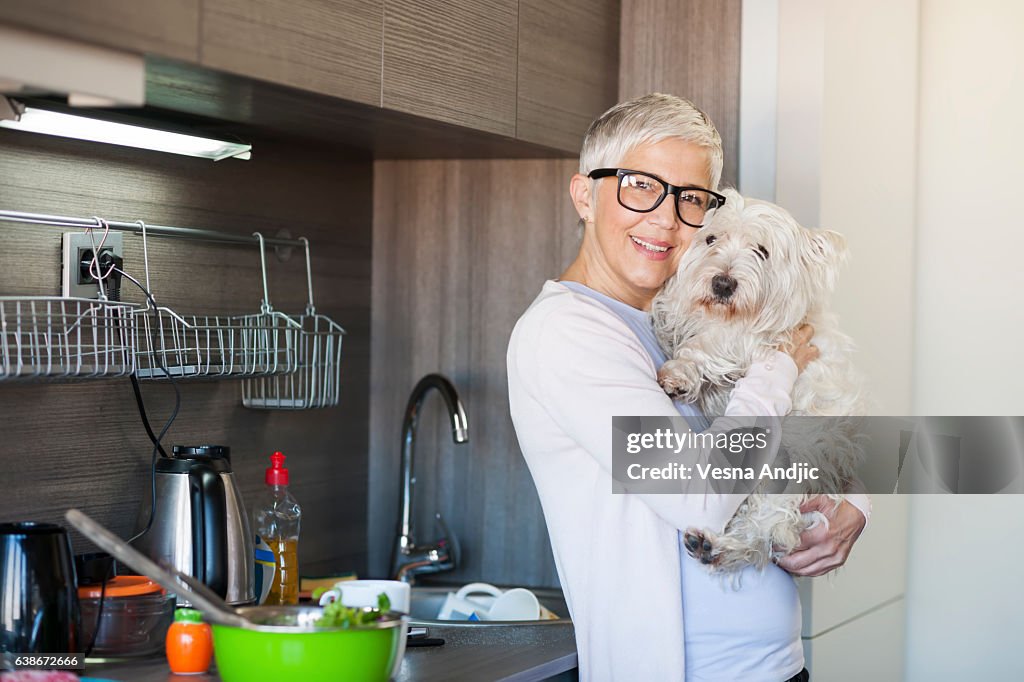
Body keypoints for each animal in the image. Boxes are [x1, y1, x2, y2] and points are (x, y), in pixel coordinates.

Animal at [651, 188, 868, 569]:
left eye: (762, 251)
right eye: (711, 239)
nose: (723, 283)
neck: (726, 315)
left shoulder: (755, 341)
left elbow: (707, 344)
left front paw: (679, 371)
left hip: (795, 469)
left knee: (768, 524)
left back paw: (714, 544)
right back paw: (709, 545)